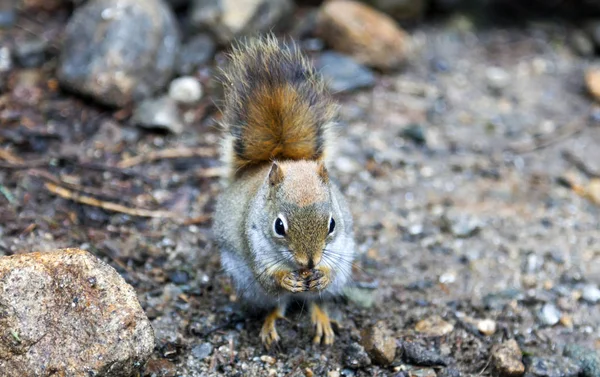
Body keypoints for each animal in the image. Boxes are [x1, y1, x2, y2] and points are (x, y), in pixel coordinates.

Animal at [213, 35, 356, 346]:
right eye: (279, 226)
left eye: (332, 224)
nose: (309, 261)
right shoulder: (254, 247)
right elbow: (270, 277)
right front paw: (287, 279)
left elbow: (330, 271)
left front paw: (321, 274)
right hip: (248, 285)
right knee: (277, 303)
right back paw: (270, 325)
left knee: (316, 301)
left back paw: (321, 320)